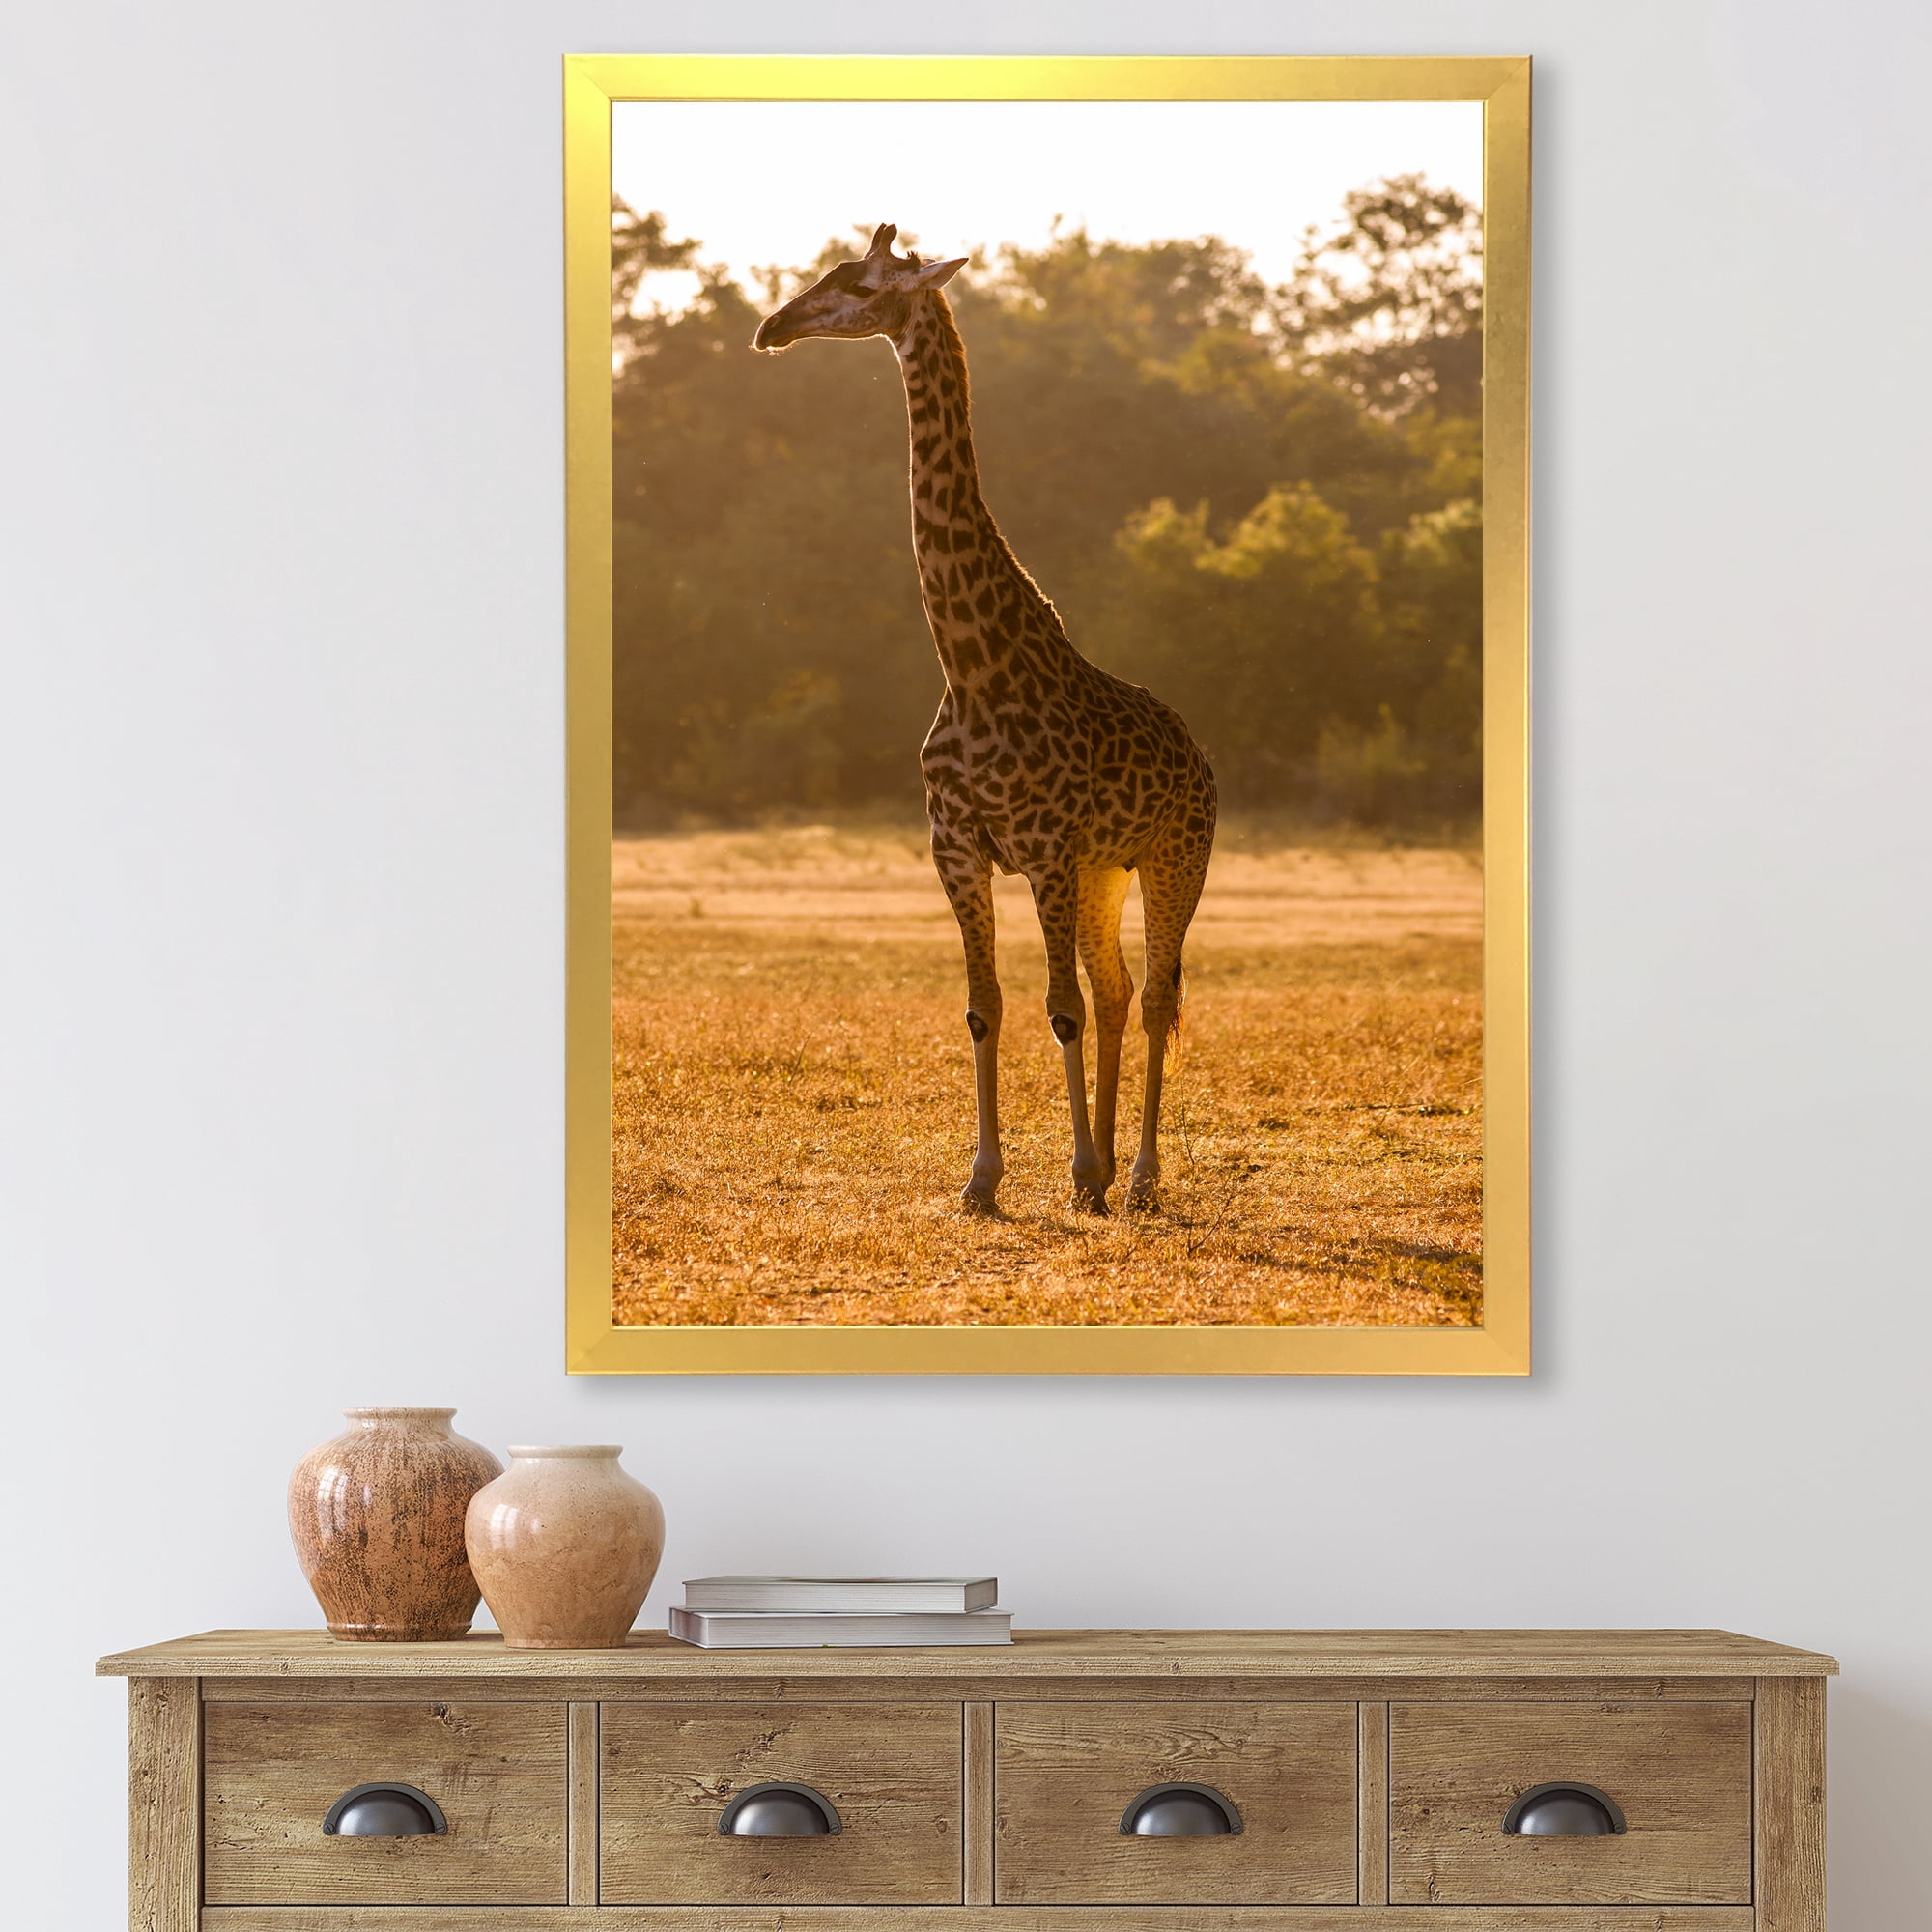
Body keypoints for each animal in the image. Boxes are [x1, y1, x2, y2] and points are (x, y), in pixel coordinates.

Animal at [754, 224, 1216, 1214]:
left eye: (860, 284)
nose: (773, 326)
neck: (970, 667)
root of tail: (1202, 757)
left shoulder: (1041, 847)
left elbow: (1057, 1010)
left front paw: (1075, 1171)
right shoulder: (959, 848)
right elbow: (987, 1007)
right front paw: (986, 1179)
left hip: (1174, 857)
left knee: (1156, 996)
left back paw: (1138, 1176)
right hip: (1103, 871)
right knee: (1117, 990)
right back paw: (1109, 1169)